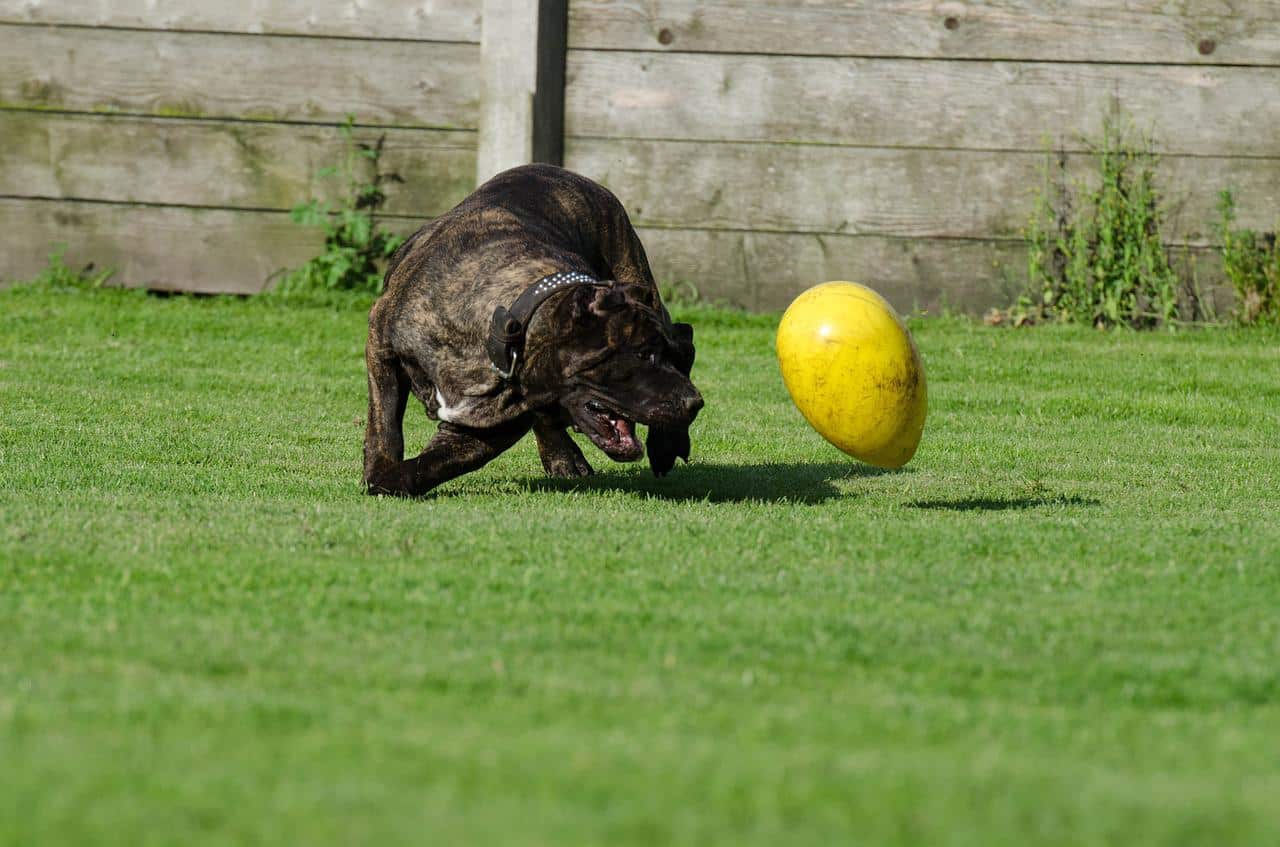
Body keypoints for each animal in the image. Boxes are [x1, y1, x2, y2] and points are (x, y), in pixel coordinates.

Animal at [360, 163, 706, 498]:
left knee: (685, 339)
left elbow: (435, 463)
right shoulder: (381, 343)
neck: (508, 330)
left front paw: (389, 479)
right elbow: (385, 421)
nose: (695, 403)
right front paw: (381, 468)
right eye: (643, 354)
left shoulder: (494, 425)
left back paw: (665, 445)